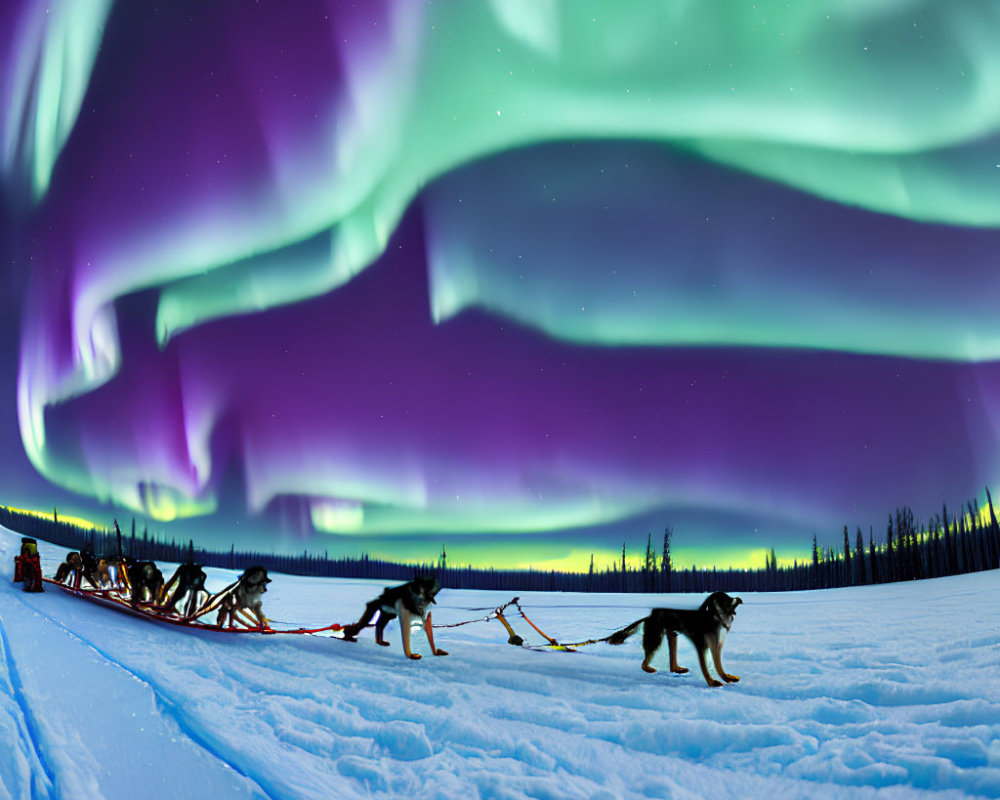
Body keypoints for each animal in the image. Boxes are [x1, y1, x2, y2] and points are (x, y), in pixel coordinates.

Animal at [608, 592, 744, 684]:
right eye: (725, 599)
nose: (738, 599)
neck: (716, 618)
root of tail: (650, 616)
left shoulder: (716, 645)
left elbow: (718, 664)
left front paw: (727, 677)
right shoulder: (701, 644)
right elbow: (706, 666)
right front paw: (713, 683)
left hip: (671, 634)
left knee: (671, 661)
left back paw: (677, 669)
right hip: (656, 636)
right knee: (644, 663)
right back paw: (649, 669)